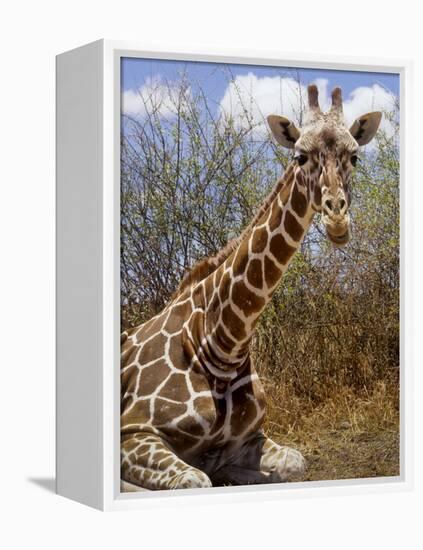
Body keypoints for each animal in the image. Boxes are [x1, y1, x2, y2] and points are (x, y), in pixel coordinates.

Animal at [121, 85, 382, 492]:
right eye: (300, 156)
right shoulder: (132, 431)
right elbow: (194, 481)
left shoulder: (248, 438)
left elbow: (294, 463)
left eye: (354, 156)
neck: (221, 342)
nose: (337, 218)